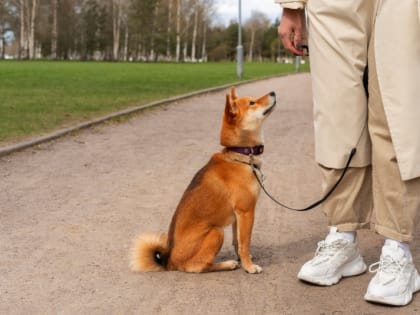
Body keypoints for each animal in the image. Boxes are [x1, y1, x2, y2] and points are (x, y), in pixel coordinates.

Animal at [130, 87, 276, 274]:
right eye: (252, 103)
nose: (273, 92)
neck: (241, 156)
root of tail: (170, 262)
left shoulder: (237, 216)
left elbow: (237, 242)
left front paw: (244, 260)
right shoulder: (246, 211)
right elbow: (245, 243)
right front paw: (249, 266)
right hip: (216, 232)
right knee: (199, 266)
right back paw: (226, 264)